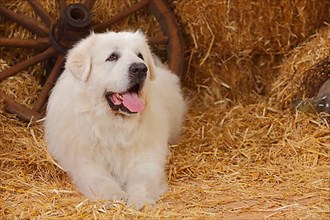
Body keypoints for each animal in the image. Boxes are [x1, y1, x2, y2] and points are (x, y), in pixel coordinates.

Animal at [44, 30, 186, 208]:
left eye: (140, 55)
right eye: (112, 57)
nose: (140, 68)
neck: (114, 124)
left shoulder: (147, 158)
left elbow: (142, 180)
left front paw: (140, 200)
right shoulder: (85, 161)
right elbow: (100, 180)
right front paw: (115, 197)